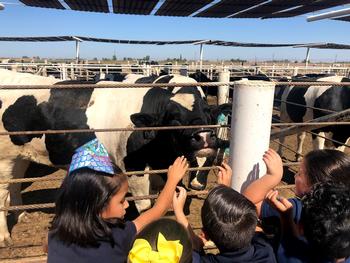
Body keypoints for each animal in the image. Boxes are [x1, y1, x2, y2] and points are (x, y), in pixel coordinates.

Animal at [0, 70, 226, 248]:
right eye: (173, 119)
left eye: (208, 113)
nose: (204, 137)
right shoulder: (135, 170)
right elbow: (146, 206)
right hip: (4, 158)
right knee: (3, 191)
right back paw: (4, 236)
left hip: (19, 155)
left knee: (15, 180)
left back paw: (21, 214)